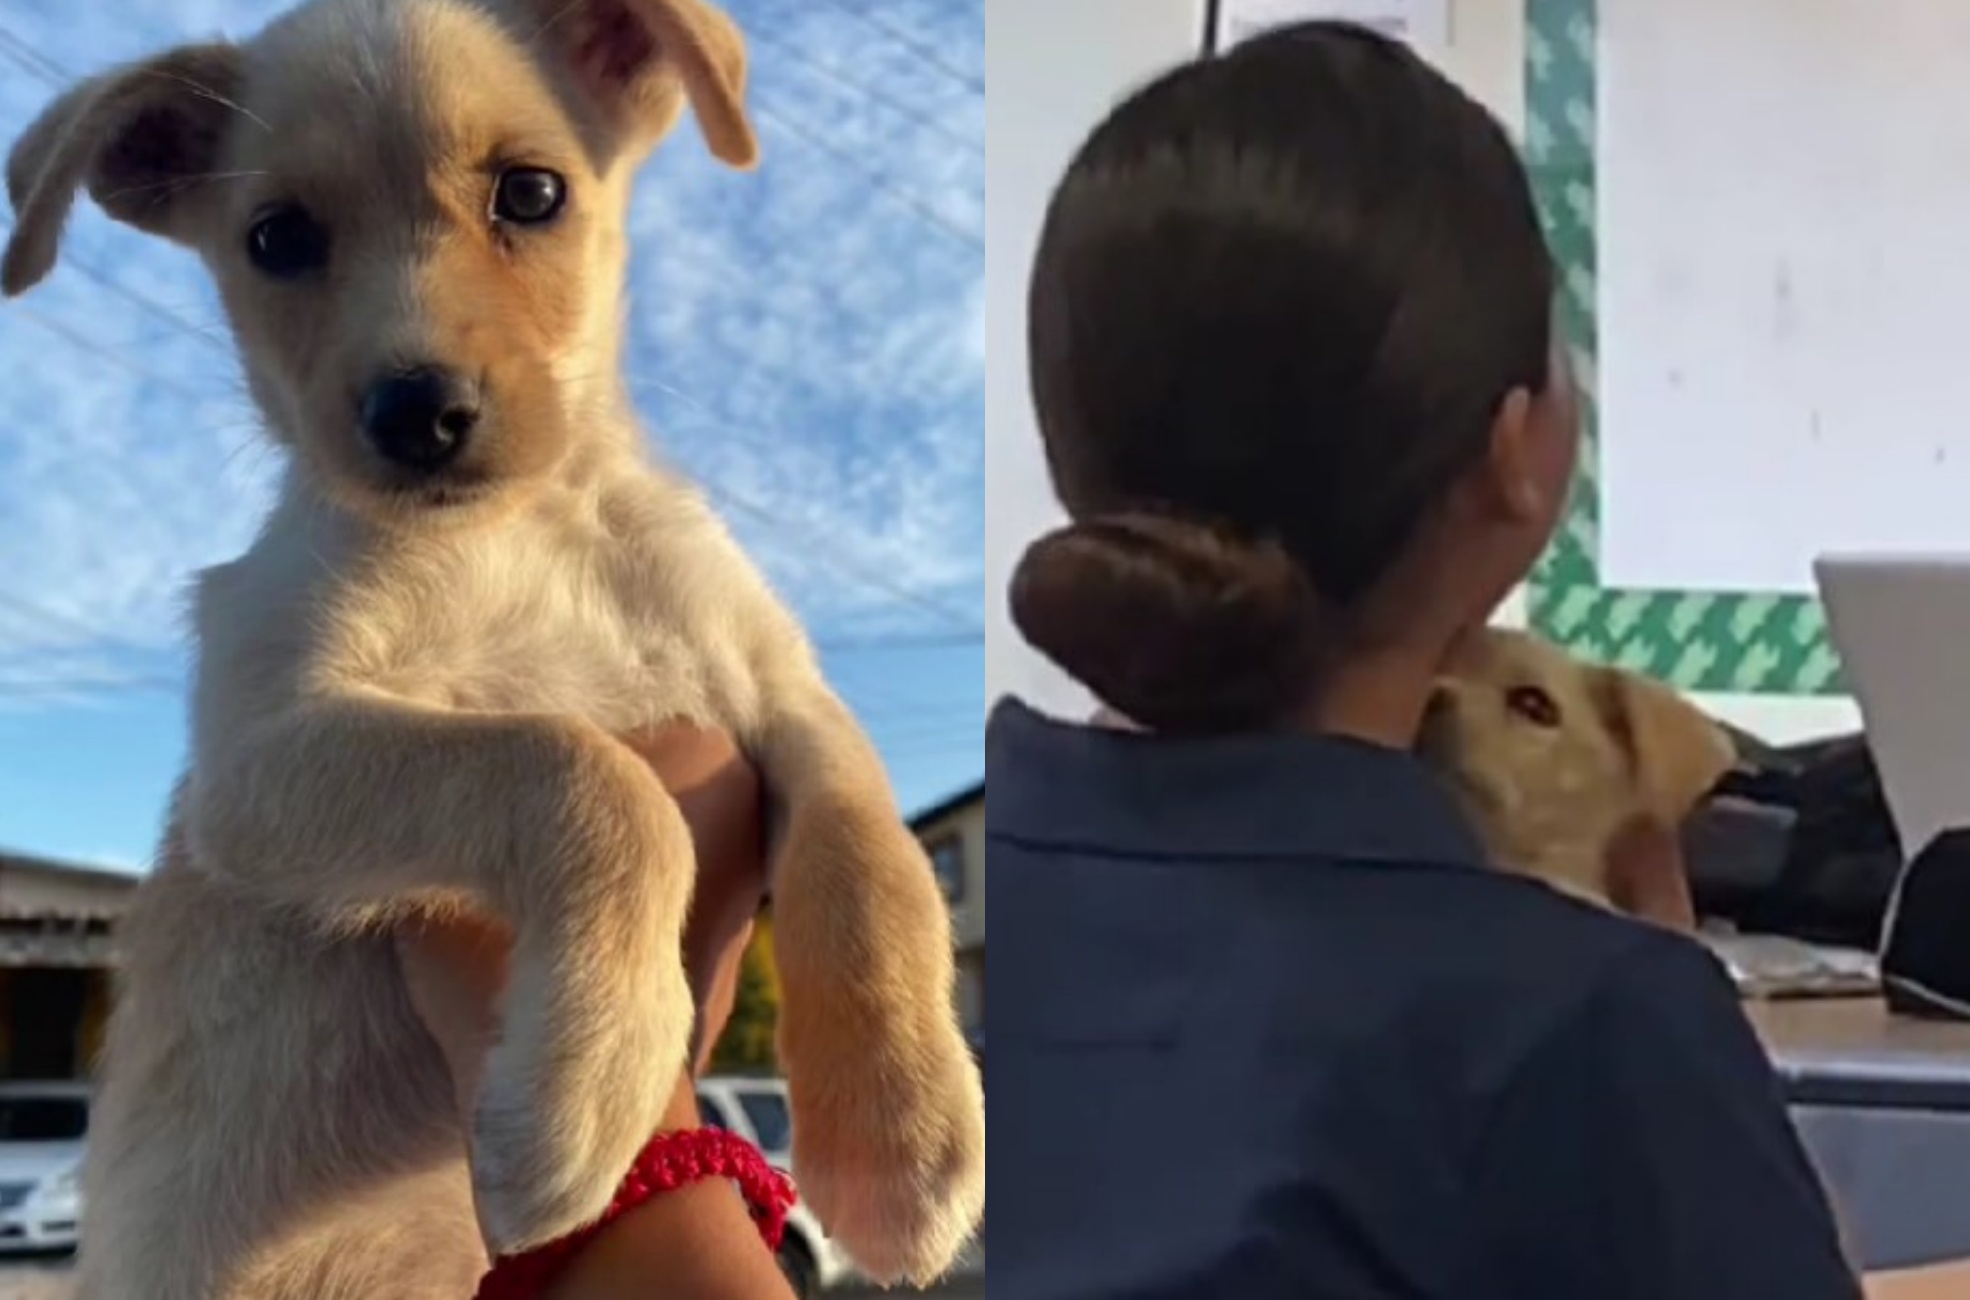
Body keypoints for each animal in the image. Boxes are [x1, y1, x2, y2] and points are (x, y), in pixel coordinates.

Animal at [0, 2, 985, 1300]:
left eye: (529, 192)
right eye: (277, 237)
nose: (417, 413)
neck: (527, 533)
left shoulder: (784, 692)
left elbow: (874, 853)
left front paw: (902, 1137)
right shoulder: (261, 751)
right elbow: (589, 776)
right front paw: (578, 1099)